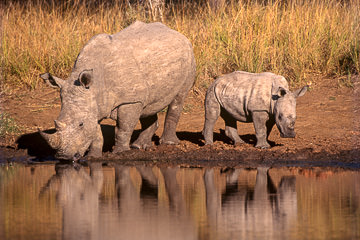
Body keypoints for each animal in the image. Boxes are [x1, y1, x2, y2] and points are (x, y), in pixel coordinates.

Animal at [39, 20, 195, 159]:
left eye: (80, 124)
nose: (63, 156)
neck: (95, 86)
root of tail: (177, 33)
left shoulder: (129, 100)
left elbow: (123, 127)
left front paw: (120, 152)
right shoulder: (94, 104)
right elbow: (96, 132)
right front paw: (93, 156)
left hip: (189, 57)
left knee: (178, 98)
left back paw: (168, 143)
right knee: (147, 104)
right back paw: (138, 146)